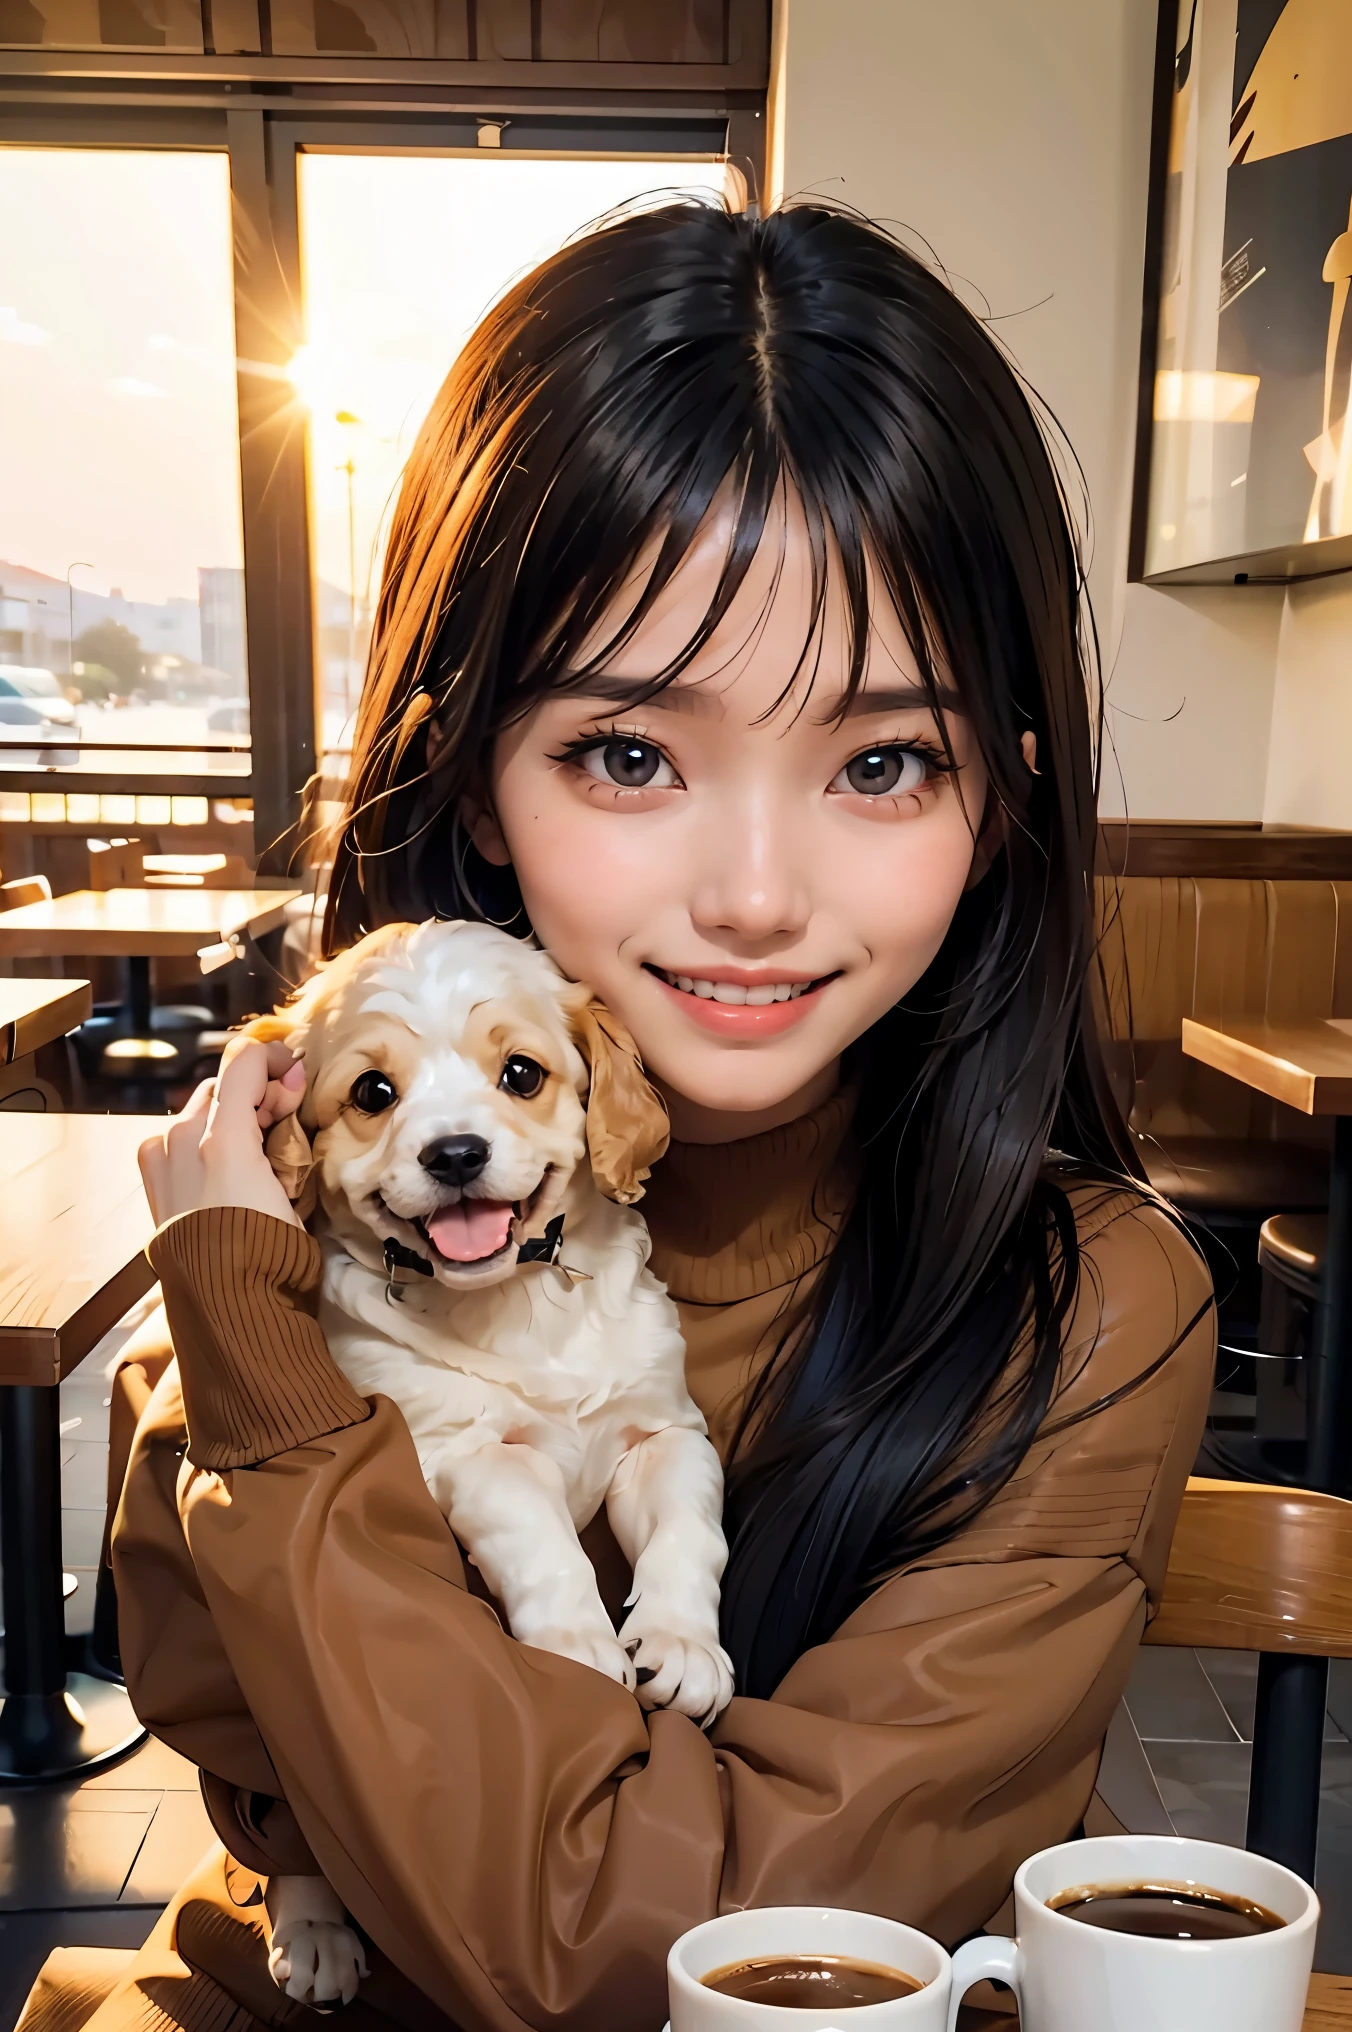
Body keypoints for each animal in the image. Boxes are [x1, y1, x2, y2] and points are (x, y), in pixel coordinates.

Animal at [250, 922, 740, 1999]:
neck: (520, 1303)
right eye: (372, 1092)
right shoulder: (466, 1452)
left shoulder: (663, 1434)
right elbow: (544, 1545)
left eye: (520, 1073)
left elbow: (690, 1538)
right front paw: (578, 1646)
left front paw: (682, 1645)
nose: (455, 1154)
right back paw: (315, 1930)